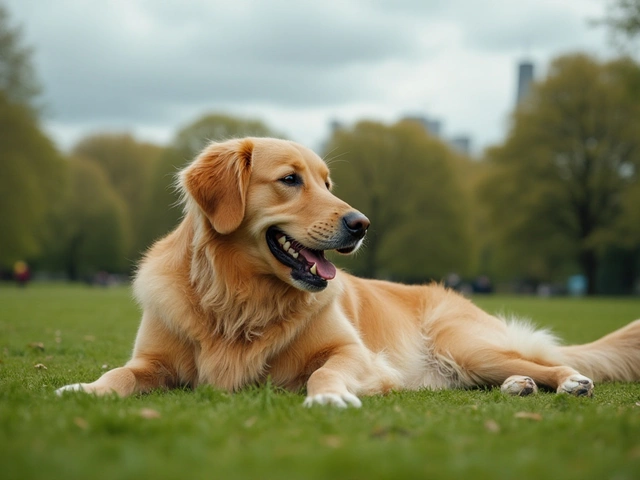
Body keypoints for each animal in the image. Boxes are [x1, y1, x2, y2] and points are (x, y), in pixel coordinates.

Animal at [56, 137, 640, 406]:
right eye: (291, 179)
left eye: (328, 182)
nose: (362, 223)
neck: (240, 298)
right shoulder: (152, 360)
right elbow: (122, 374)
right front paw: (86, 388)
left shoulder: (352, 352)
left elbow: (325, 370)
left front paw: (328, 395)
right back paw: (520, 387)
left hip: (465, 344)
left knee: (547, 361)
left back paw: (564, 381)